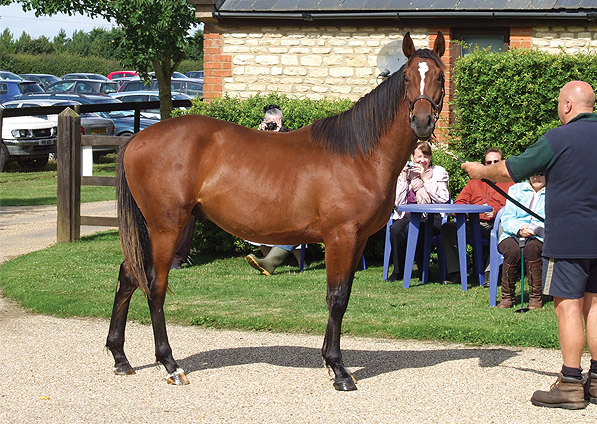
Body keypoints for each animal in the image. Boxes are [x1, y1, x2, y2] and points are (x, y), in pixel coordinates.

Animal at [106, 32, 442, 390]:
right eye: (406, 77)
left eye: (439, 76)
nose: (422, 122)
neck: (358, 155)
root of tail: (138, 139)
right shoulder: (341, 237)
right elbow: (336, 297)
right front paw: (338, 370)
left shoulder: (358, 240)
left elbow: (343, 296)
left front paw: (331, 362)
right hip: (166, 227)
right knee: (155, 285)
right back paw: (169, 364)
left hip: (158, 228)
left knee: (128, 276)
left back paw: (120, 358)